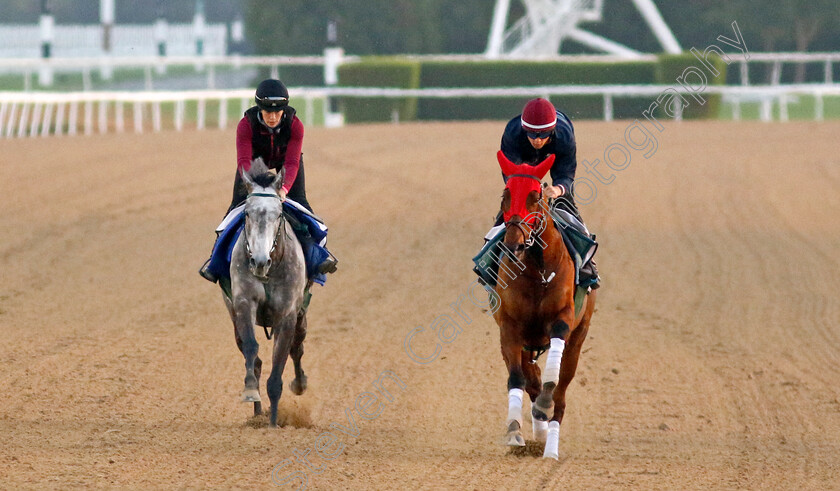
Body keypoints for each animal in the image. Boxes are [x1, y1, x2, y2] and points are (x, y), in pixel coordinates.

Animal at [225, 160, 310, 426]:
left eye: (279, 214)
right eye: (246, 213)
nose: (260, 261)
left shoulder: (287, 313)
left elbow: (279, 363)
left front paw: (273, 423)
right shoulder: (243, 302)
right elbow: (252, 347)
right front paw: (251, 391)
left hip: (301, 317)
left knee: (297, 349)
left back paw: (299, 384)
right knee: (253, 356)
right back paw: (257, 411)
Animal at [492, 151, 596, 462]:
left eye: (536, 196)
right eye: (505, 195)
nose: (513, 245)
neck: (536, 271)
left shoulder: (563, 319)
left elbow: (552, 382)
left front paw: (544, 405)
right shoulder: (510, 327)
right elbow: (517, 378)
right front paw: (514, 431)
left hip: (579, 338)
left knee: (561, 393)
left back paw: (550, 446)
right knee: (530, 379)